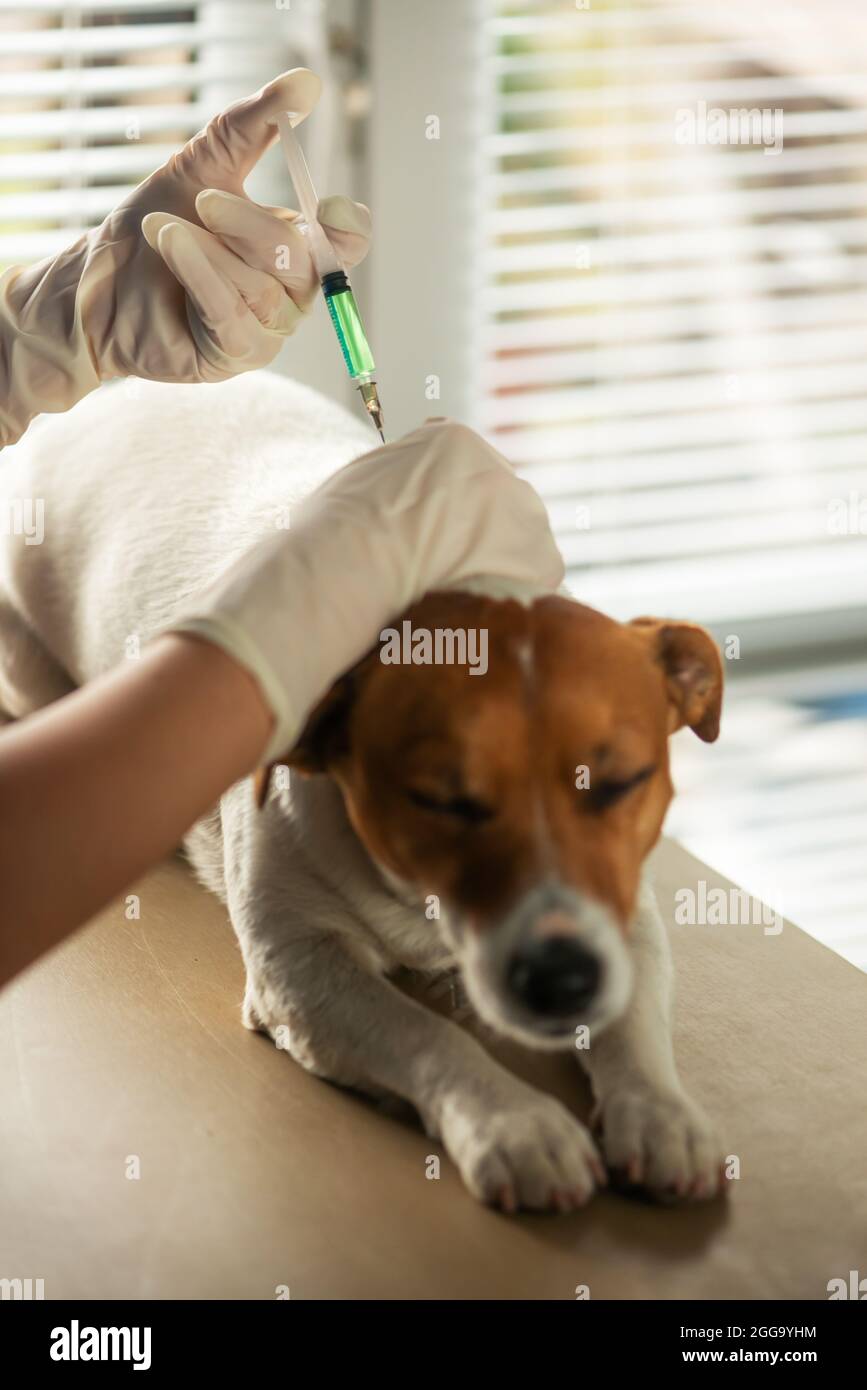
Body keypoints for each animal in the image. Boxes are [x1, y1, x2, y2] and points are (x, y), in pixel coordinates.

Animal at [0, 375, 722, 1212]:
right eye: (439, 802)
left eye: (618, 784)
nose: (560, 981)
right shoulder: (298, 963)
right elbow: (422, 1032)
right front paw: (514, 1121)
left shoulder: (622, 911)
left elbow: (631, 1017)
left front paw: (660, 1110)